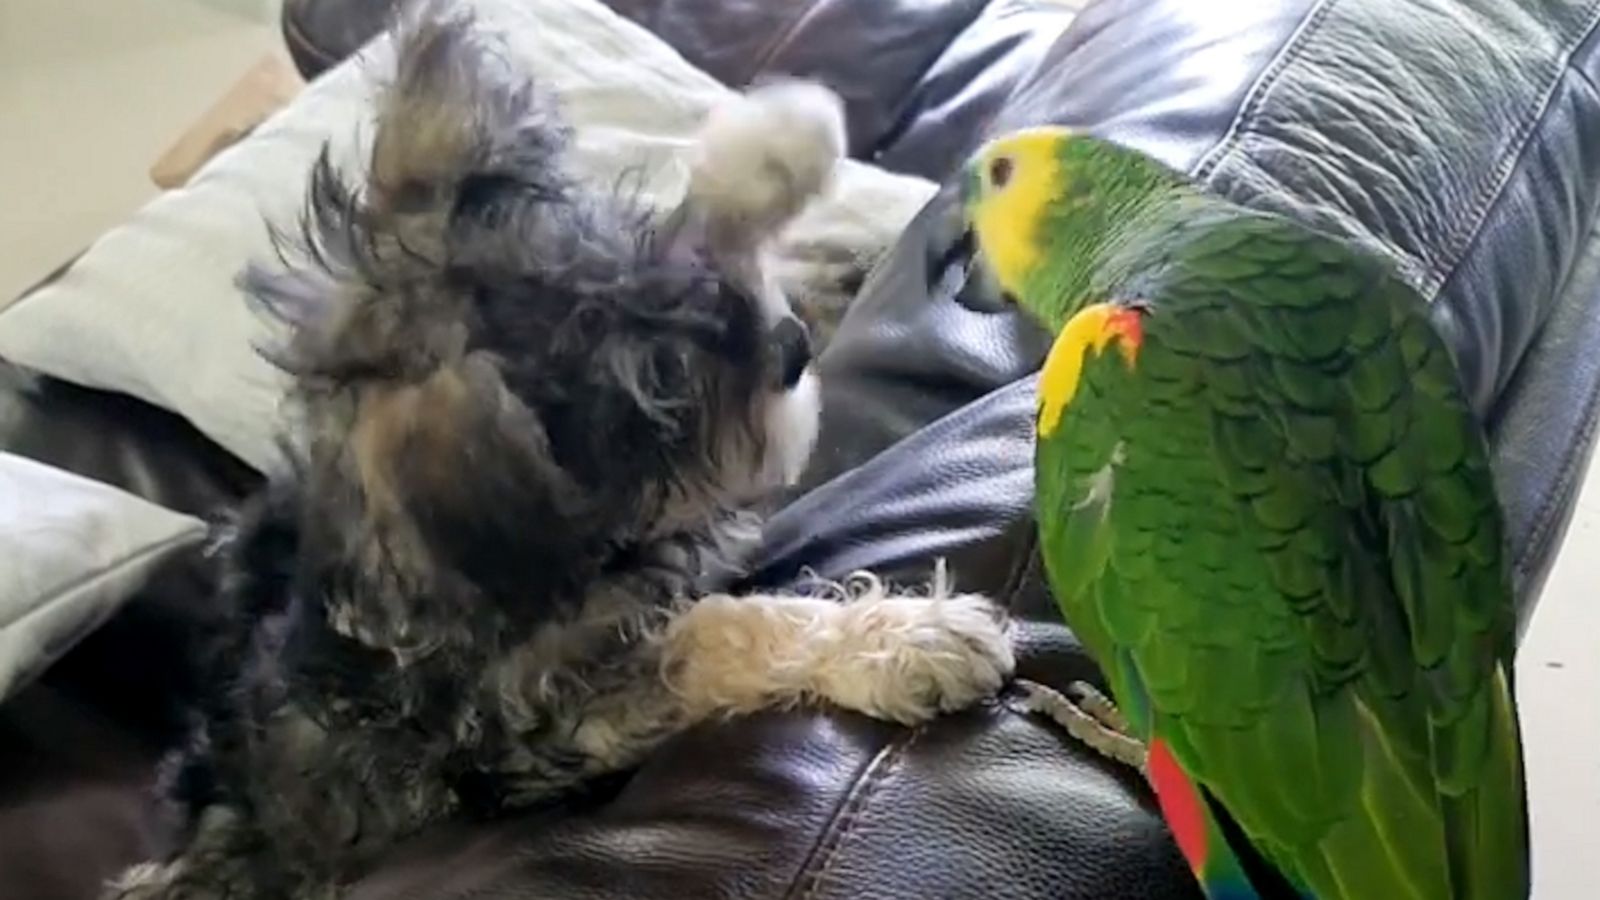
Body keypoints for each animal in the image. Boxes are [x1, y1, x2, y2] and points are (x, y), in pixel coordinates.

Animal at [106, 8, 1011, 896]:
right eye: (651, 386)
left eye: (651, 257)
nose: (787, 351)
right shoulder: (555, 720)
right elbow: (717, 632)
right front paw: (914, 641)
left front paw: (867, 233)